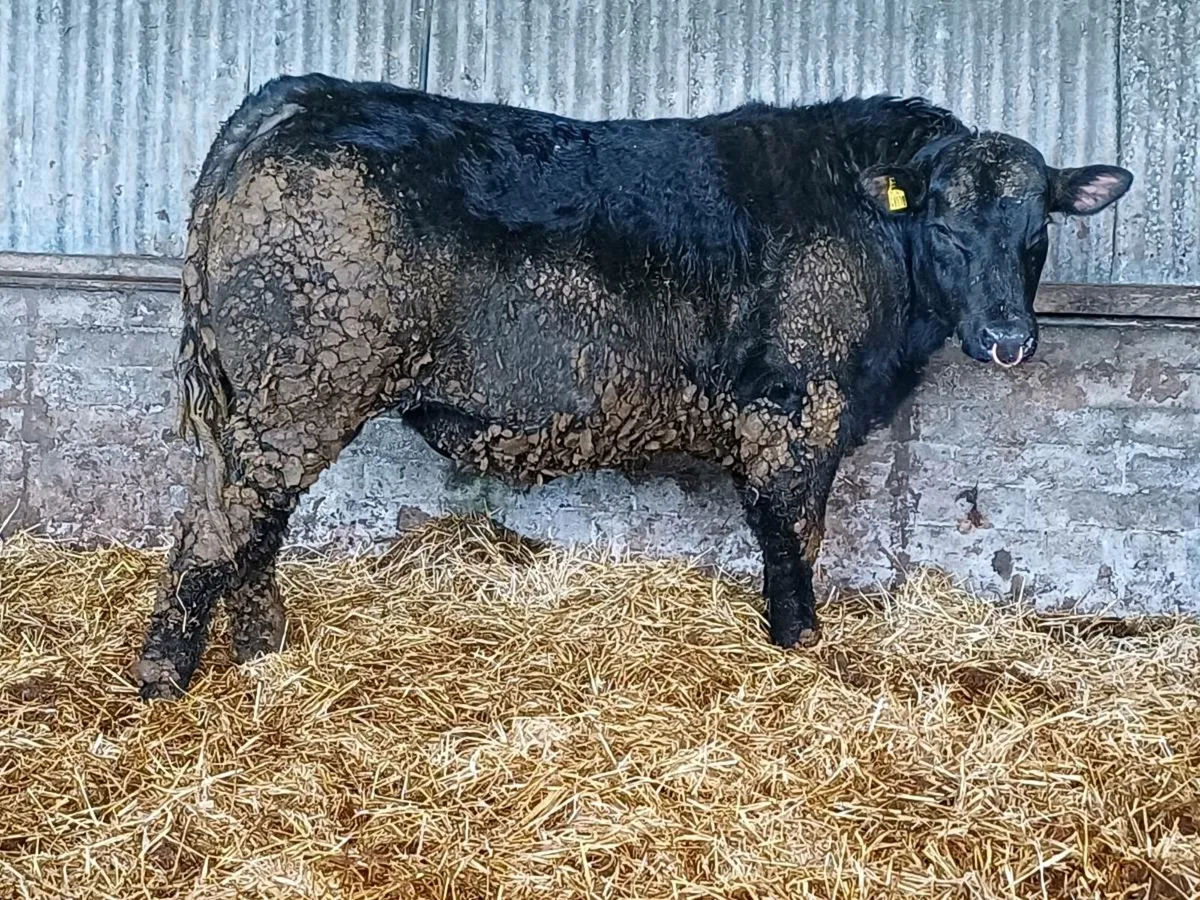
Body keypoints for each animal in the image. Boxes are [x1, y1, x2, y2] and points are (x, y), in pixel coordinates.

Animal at [134, 73, 1132, 699]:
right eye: (945, 224)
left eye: (1036, 228)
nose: (1007, 338)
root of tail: (296, 97)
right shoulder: (796, 412)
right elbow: (792, 536)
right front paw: (798, 643)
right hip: (298, 394)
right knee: (217, 527)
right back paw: (164, 680)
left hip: (269, 402)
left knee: (250, 525)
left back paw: (264, 650)